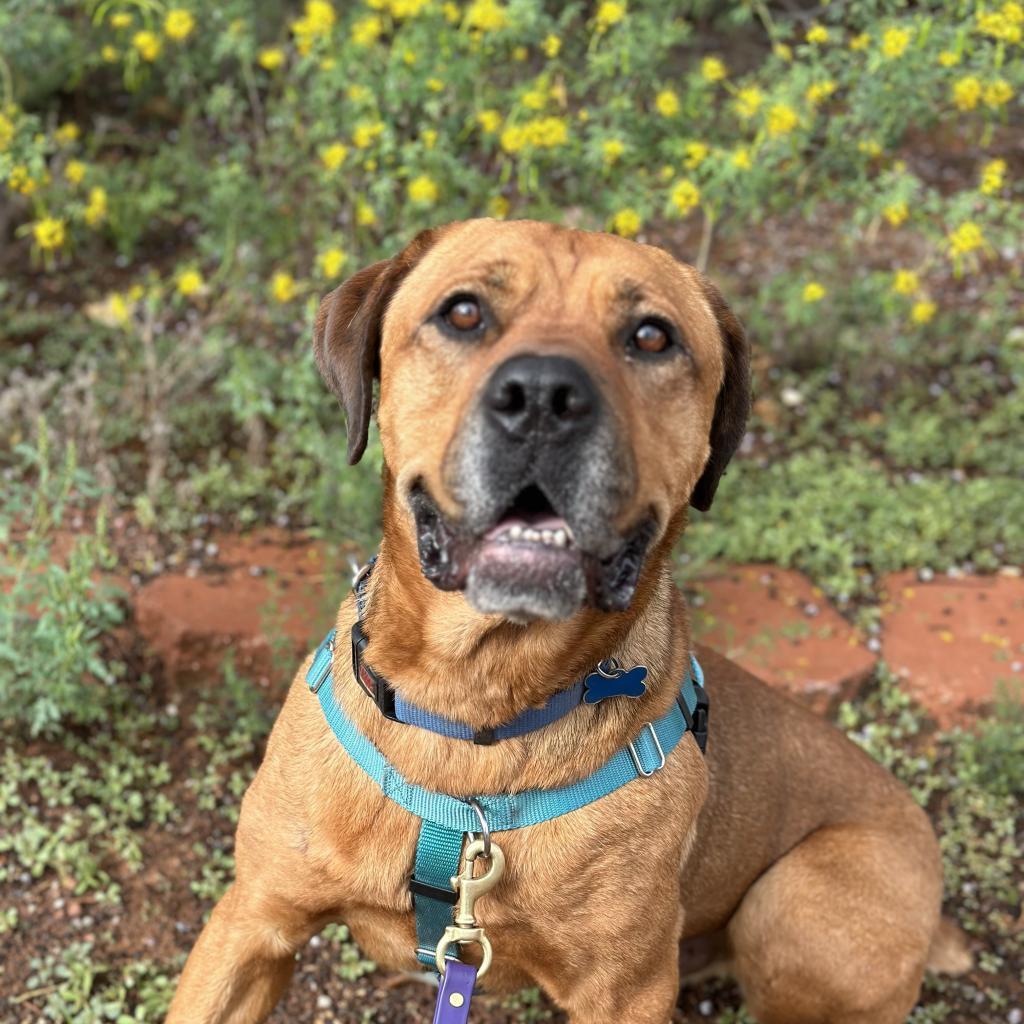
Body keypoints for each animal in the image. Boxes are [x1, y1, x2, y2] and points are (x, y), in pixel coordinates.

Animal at [165, 222, 958, 1024]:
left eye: (651, 336)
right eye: (463, 313)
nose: (544, 397)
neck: (473, 715)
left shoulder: (627, 991)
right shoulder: (253, 919)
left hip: (791, 902)